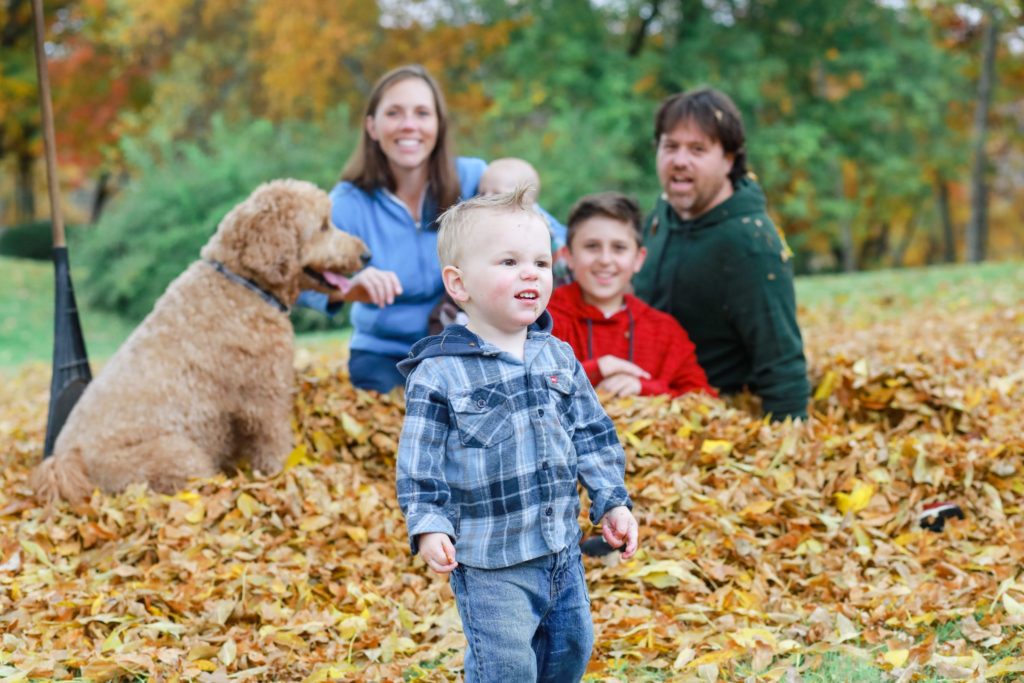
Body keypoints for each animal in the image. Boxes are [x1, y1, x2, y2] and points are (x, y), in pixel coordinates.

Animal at [32, 179, 368, 505]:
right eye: (323, 226)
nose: (366, 255)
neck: (243, 285)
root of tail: (66, 462)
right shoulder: (263, 399)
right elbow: (274, 444)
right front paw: (286, 474)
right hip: (177, 454)